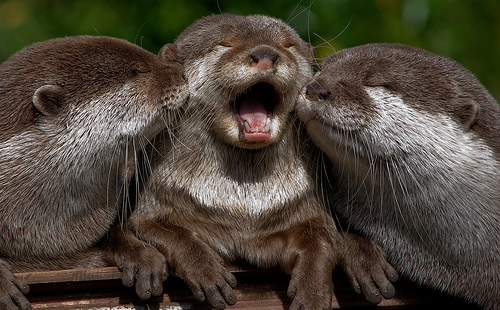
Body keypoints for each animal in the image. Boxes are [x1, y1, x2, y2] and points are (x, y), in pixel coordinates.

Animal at [105, 13, 398, 308]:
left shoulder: (306, 207)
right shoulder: (154, 201)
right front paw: (206, 271)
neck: (243, 209)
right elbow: (170, 232)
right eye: (224, 44)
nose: (266, 55)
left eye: (288, 45)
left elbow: (320, 239)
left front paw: (313, 291)